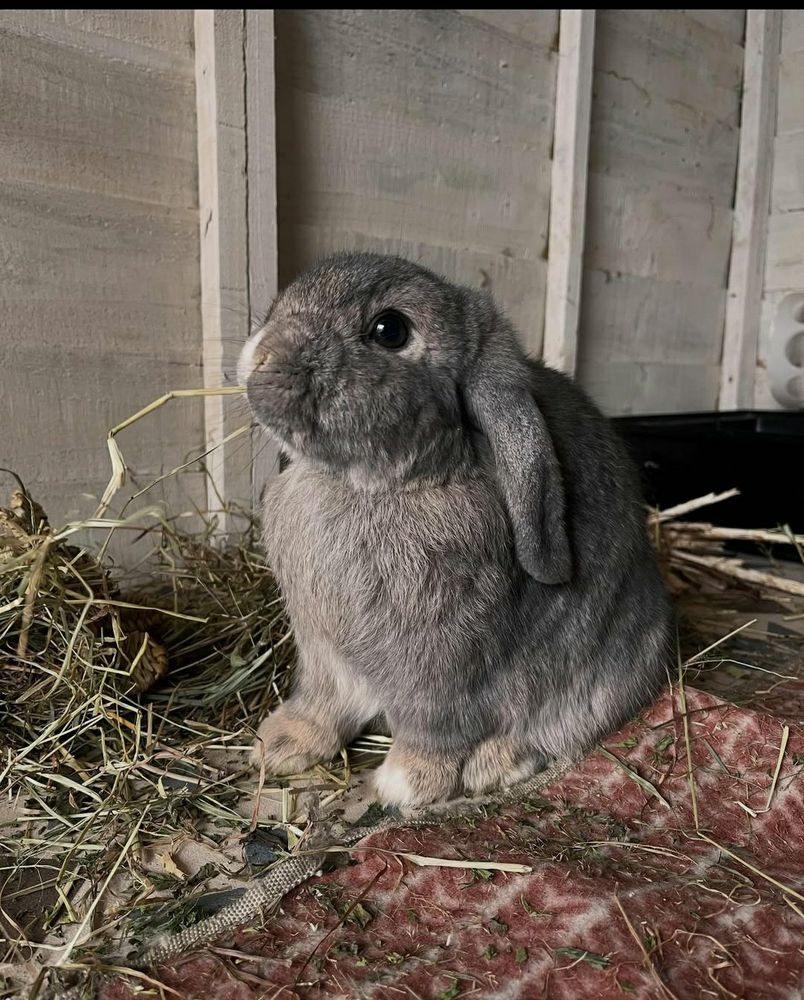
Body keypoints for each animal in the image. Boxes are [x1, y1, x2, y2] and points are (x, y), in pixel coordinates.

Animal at [240, 252, 674, 808]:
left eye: (390, 330)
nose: (263, 357)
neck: (376, 487)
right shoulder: (324, 662)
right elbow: (321, 704)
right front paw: (279, 745)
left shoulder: (445, 674)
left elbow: (437, 732)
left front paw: (405, 783)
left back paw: (495, 765)